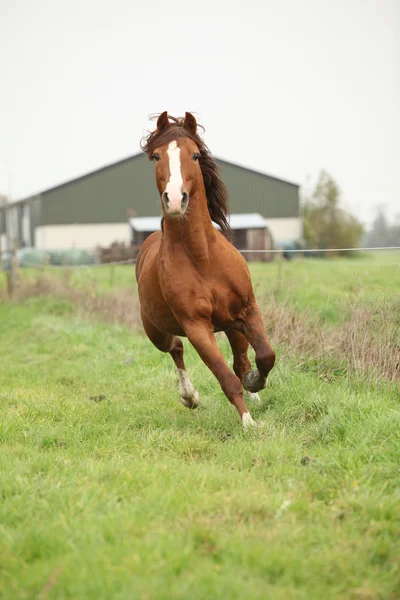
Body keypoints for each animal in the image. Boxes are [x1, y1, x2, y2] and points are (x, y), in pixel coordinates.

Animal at [137, 112, 276, 428]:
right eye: (156, 156)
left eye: (196, 155)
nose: (175, 199)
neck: (202, 257)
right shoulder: (197, 327)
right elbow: (226, 378)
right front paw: (249, 424)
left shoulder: (247, 310)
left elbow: (265, 356)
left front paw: (255, 384)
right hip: (156, 332)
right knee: (175, 348)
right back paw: (189, 397)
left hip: (232, 325)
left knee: (241, 361)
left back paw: (253, 391)